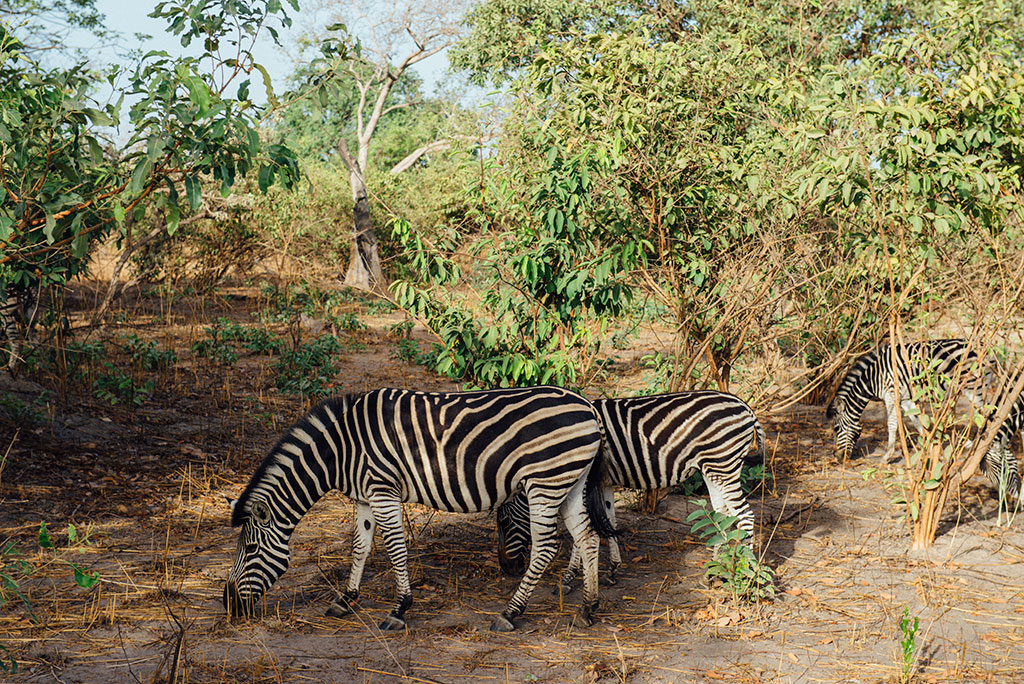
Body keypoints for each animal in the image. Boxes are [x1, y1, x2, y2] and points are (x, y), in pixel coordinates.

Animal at [224, 387, 614, 634]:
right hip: (569, 481)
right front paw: (346, 599)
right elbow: (360, 547)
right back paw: (588, 608)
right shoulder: (364, 496)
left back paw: (510, 613)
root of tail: (588, 407)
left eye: (251, 549)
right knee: (588, 536)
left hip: (545, 481)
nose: (228, 605)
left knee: (546, 547)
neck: (341, 450)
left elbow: (395, 548)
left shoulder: (383, 490)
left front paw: (399, 609)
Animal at [491, 393, 765, 589]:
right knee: (721, 513)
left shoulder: (585, 482)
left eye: (504, 522)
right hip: (713, 468)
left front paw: (570, 576)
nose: (506, 569)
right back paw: (714, 569)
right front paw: (612, 570)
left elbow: (584, 529)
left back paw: (747, 573)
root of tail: (746, 406)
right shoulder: (603, 482)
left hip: (724, 464)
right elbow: (609, 521)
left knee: (745, 515)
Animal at [823, 335, 983, 458]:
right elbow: (917, 421)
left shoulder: (891, 395)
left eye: (836, 428)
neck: (874, 378)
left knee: (983, 412)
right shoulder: (905, 399)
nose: (836, 456)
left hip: (972, 385)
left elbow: (892, 424)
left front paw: (888, 455)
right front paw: (930, 447)